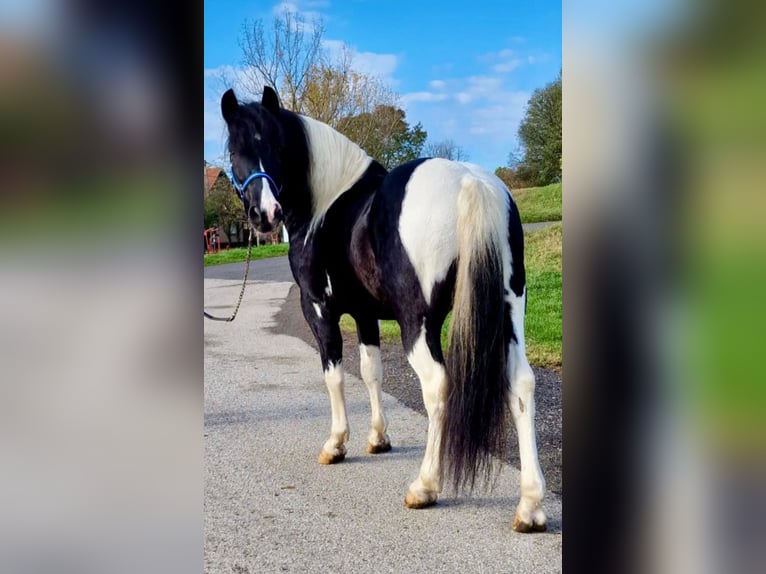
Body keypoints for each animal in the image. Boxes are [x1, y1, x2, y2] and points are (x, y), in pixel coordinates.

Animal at [219, 86, 548, 536]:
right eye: (237, 149)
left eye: (273, 146)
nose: (265, 215)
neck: (325, 205)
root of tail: (469, 181)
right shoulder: (366, 315)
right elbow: (371, 371)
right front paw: (378, 439)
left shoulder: (318, 309)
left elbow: (336, 374)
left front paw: (336, 443)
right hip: (511, 309)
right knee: (521, 383)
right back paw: (530, 506)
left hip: (419, 324)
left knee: (438, 386)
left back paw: (425, 486)